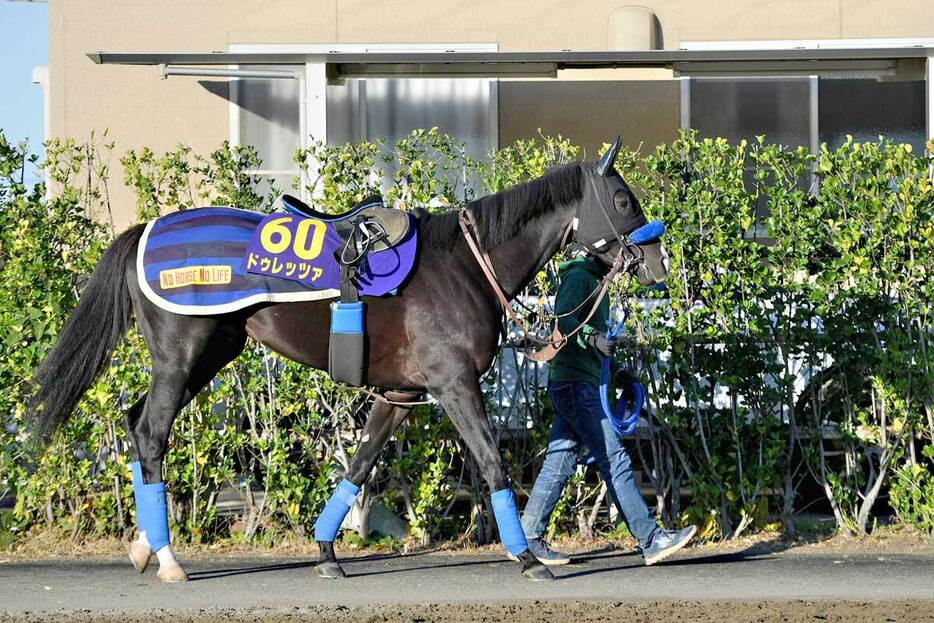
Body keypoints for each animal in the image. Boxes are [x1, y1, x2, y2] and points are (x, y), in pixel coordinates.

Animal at [29, 136, 660, 584]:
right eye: (623, 200)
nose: (657, 261)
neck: (464, 265)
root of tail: (146, 231)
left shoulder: (401, 395)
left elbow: (359, 466)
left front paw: (327, 550)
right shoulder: (455, 384)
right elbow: (491, 461)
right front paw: (526, 557)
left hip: (210, 354)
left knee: (137, 422)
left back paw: (143, 545)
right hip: (183, 355)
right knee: (152, 432)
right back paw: (167, 558)